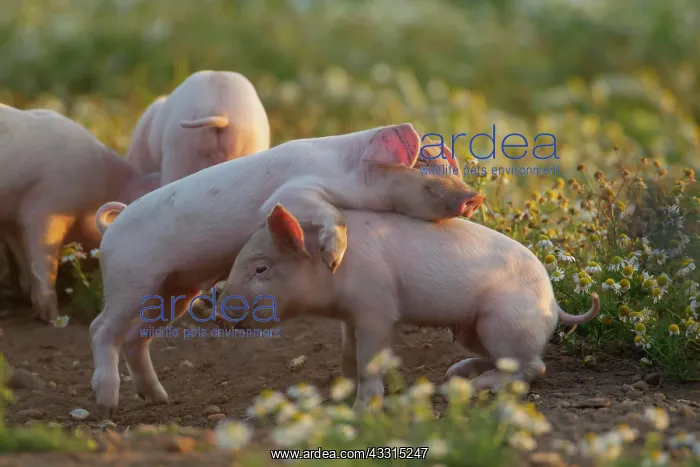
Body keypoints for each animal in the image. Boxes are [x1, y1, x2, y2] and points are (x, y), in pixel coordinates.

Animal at [0, 104, 162, 324]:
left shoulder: (13, 218)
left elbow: (25, 258)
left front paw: (29, 301)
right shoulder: (47, 205)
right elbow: (44, 258)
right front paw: (52, 318)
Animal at [89, 122, 484, 416]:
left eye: (452, 169)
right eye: (424, 171)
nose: (474, 197)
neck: (348, 173)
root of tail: (111, 229)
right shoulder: (292, 193)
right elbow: (329, 213)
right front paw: (333, 257)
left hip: (177, 290)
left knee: (136, 336)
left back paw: (159, 398)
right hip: (130, 279)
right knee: (101, 328)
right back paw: (106, 405)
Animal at [216, 204, 600, 410]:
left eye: (260, 268)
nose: (218, 314)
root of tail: (553, 304)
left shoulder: (377, 308)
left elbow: (369, 358)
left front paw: (362, 409)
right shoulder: (349, 317)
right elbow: (347, 354)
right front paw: (341, 394)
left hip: (504, 321)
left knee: (532, 367)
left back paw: (473, 385)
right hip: (471, 329)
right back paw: (456, 371)